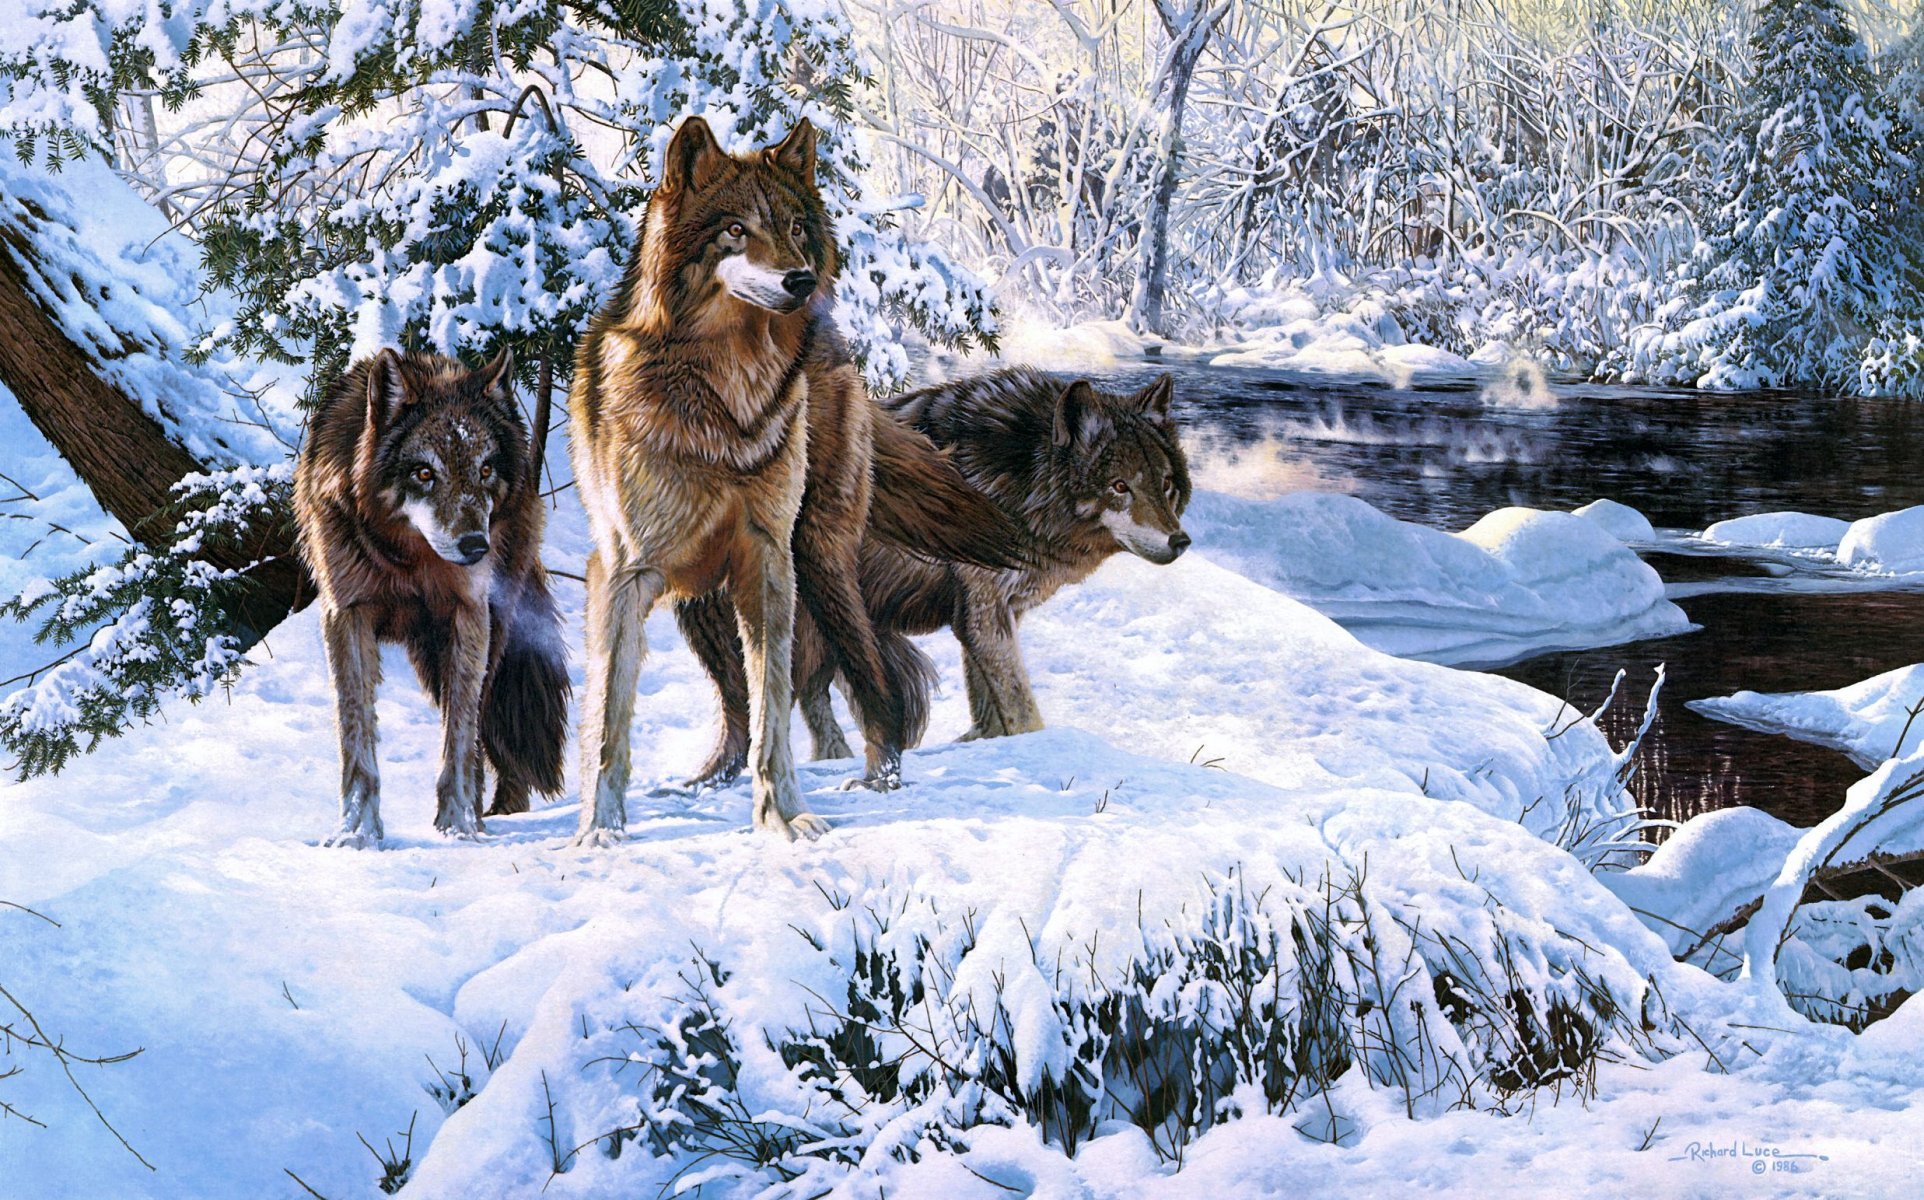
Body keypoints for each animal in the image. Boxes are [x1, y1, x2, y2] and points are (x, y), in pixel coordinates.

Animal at [294, 348, 569, 846]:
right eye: (424, 473)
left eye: (484, 469)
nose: (476, 546)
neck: (408, 561)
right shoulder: (347, 615)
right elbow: (355, 731)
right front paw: (357, 832)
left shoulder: (468, 614)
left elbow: (460, 734)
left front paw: (458, 825)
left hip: (482, 634)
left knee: (480, 720)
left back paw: (486, 814)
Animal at [569, 116, 1022, 844]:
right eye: (734, 230)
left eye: (796, 228)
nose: (801, 281)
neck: (724, 402)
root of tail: (834, 343)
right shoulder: (624, 572)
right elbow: (610, 716)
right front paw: (600, 831)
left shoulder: (768, 560)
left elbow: (775, 709)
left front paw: (784, 818)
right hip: (701, 605)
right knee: (734, 708)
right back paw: (706, 782)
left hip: (818, 560)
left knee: (870, 679)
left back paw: (879, 778)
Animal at [680, 367, 1190, 773]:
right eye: (1119, 487)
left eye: (1165, 485)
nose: (1180, 541)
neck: (1020, 480)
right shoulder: (983, 613)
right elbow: (1022, 710)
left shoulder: (992, 616)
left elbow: (988, 710)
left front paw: (983, 745)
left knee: (808, 704)